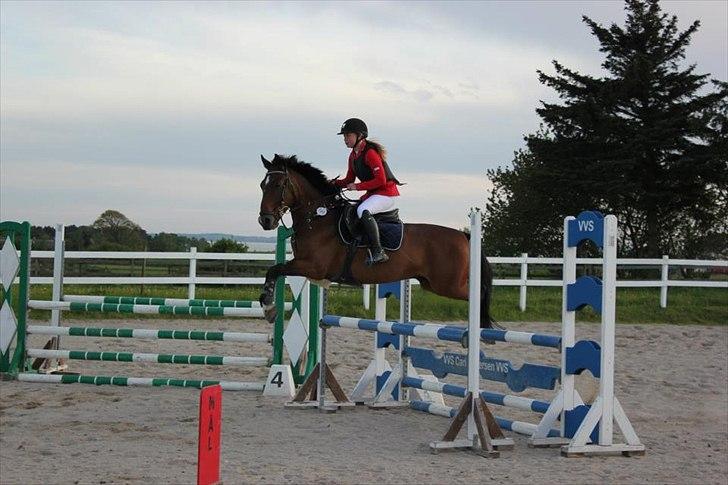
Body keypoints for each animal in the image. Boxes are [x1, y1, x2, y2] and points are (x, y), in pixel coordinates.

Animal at [256, 155, 494, 328]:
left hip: (447, 284)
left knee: (478, 296)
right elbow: (274, 270)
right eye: (261, 185)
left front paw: (269, 307)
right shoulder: (308, 268)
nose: (265, 220)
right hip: (432, 283)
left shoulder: (313, 266)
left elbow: (275, 270)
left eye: (279, 185)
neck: (317, 218)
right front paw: (268, 306)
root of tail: (464, 236)